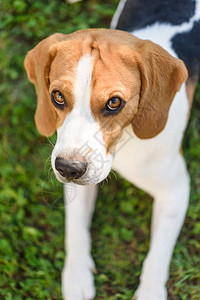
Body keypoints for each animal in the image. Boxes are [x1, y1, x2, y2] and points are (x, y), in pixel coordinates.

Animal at [24, 0, 199, 300]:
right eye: (57, 96)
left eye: (114, 102)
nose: (68, 168)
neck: (121, 147)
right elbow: (75, 228)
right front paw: (76, 275)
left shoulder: (175, 190)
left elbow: (158, 254)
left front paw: (150, 291)